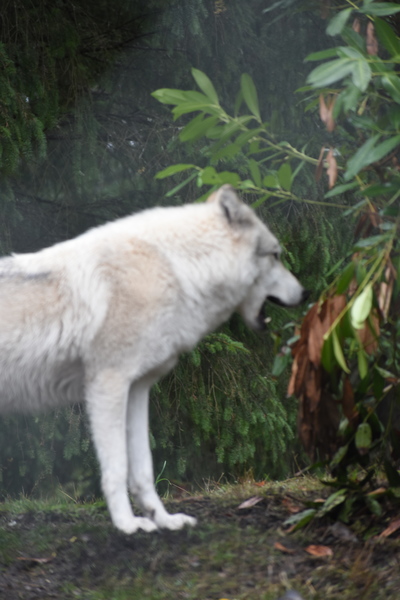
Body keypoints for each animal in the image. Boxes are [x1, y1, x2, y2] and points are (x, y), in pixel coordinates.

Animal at [0, 185, 307, 534]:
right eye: (276, 255)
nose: (306, 293)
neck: (176, 269)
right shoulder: (108, 384)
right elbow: (117, 467)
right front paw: (127, 524)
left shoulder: (137, 389)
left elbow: (143, 469)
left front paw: (164, 520)